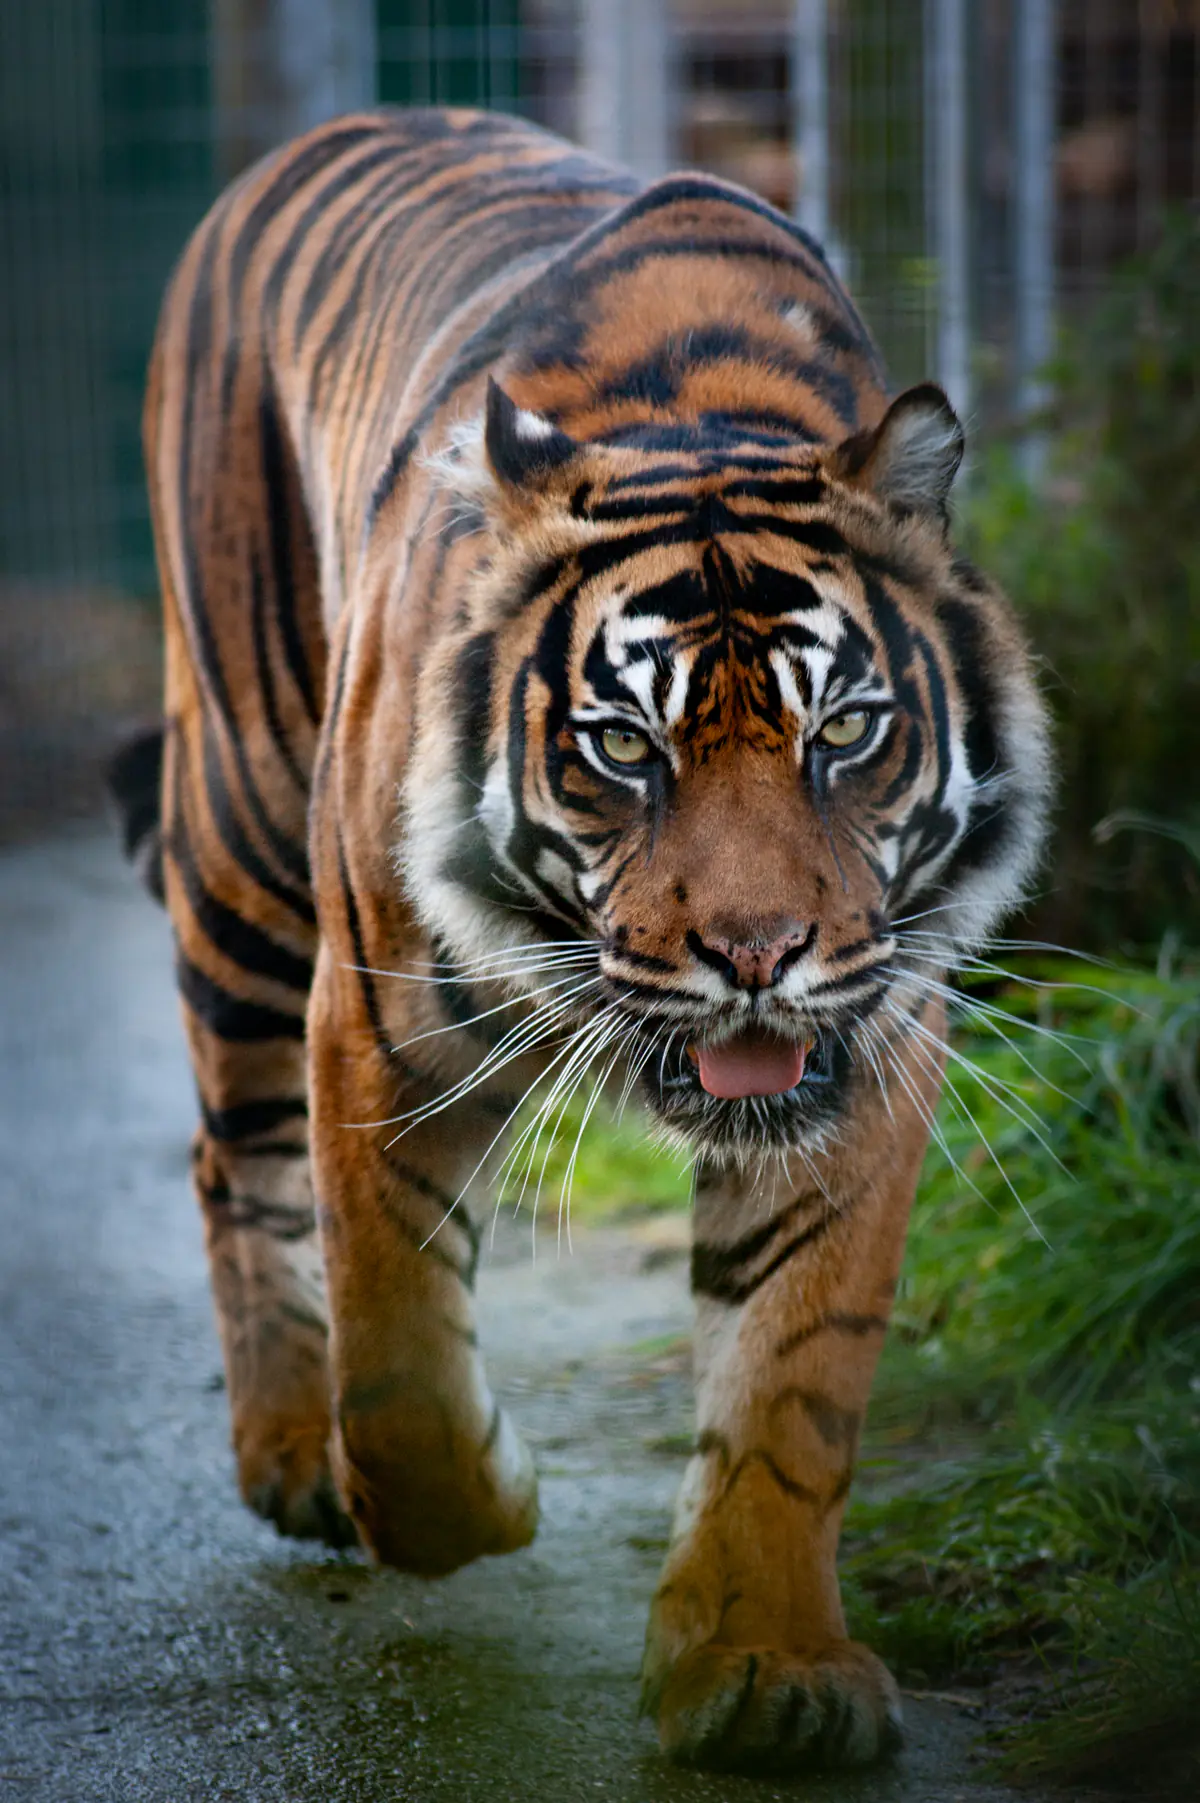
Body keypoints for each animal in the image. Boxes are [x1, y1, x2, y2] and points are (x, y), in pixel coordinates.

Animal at [124, 106, 1052, 1775]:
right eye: (625, 744)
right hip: (235, 828)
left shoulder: (870, 1043)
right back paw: (293, 1455)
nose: (759, 950)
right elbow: (399, 1363)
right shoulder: (376, 1021)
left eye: (847, 729)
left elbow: (793, 1377)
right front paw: (479, 1496)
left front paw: (764, 1667)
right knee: (236, 1162)